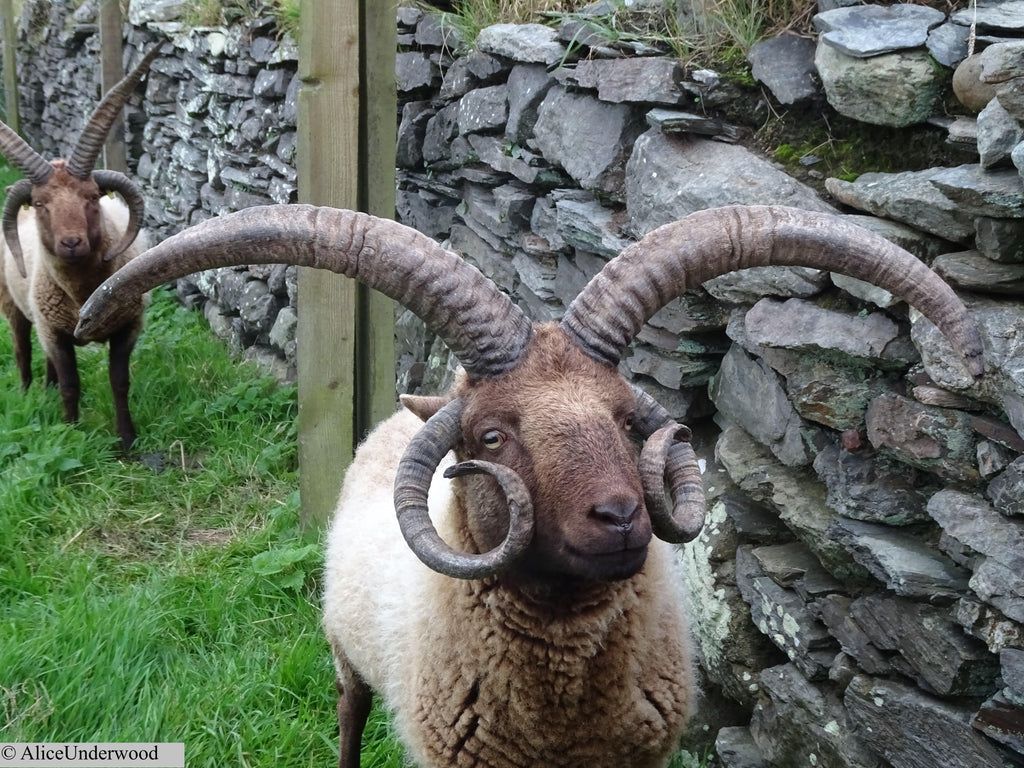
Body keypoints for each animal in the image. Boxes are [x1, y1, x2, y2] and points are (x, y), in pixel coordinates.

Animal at [0, 45, 160, 451]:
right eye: (41, 203)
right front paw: (71, 433)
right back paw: (26, 392)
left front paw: (127, 440)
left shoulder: (128, 326)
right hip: (13, 305)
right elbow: (71, 385)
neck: (83, 293)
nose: (71, 242)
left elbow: (119, 382)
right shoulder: (55, 332)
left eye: (91, 196)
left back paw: (45, 386)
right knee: (22, 349)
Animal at [74, 204, 984, 767]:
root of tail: (410, 404)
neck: (562, 693)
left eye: (625, 421)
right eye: (490, 437)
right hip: (343, 653)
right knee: (347, 718)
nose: (620, 518)